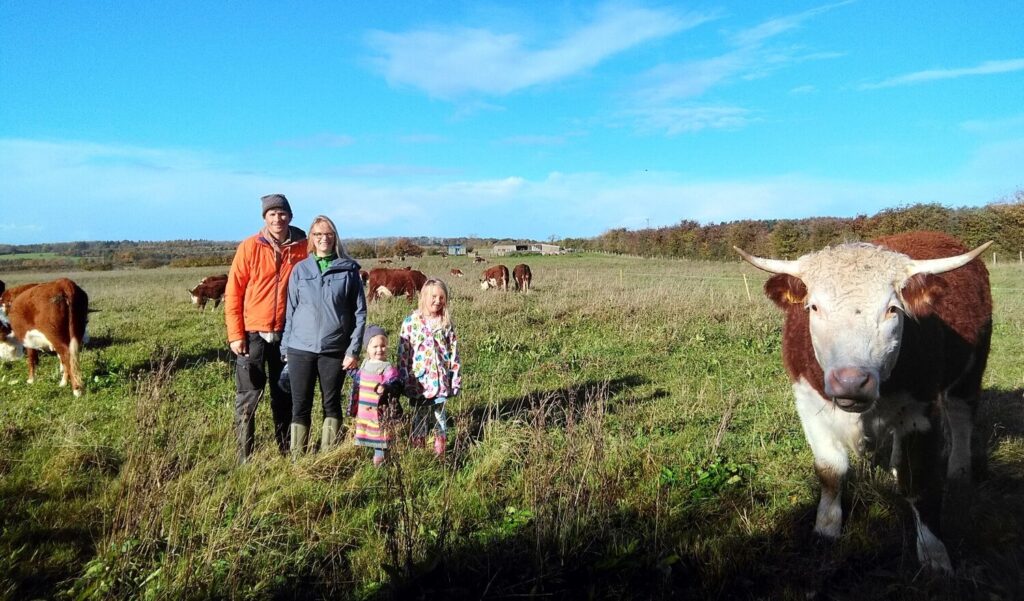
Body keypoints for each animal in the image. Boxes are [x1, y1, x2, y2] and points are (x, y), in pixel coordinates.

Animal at [737, 231, 991, 573]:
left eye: (893, 310)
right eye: (814, 307)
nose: (851, 381)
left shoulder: (923, 411)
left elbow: (919, 482)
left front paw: (934, 551)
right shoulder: (807, 401)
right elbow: (830, 470)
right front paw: (826, 527)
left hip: (970, 371)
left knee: (962, 416)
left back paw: (960, 471)